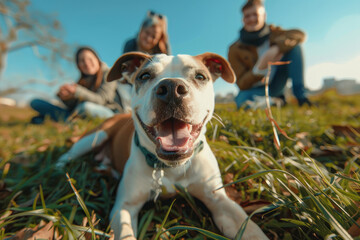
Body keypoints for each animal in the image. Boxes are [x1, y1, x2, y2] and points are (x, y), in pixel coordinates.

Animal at [57, 51, 268, 239]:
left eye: (200, 76)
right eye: (144, 76)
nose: (171, 87)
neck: (170, 167)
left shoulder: (220, 201)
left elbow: (251, 230)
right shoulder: (124, 207)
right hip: (96, 135)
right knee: (67, 155)